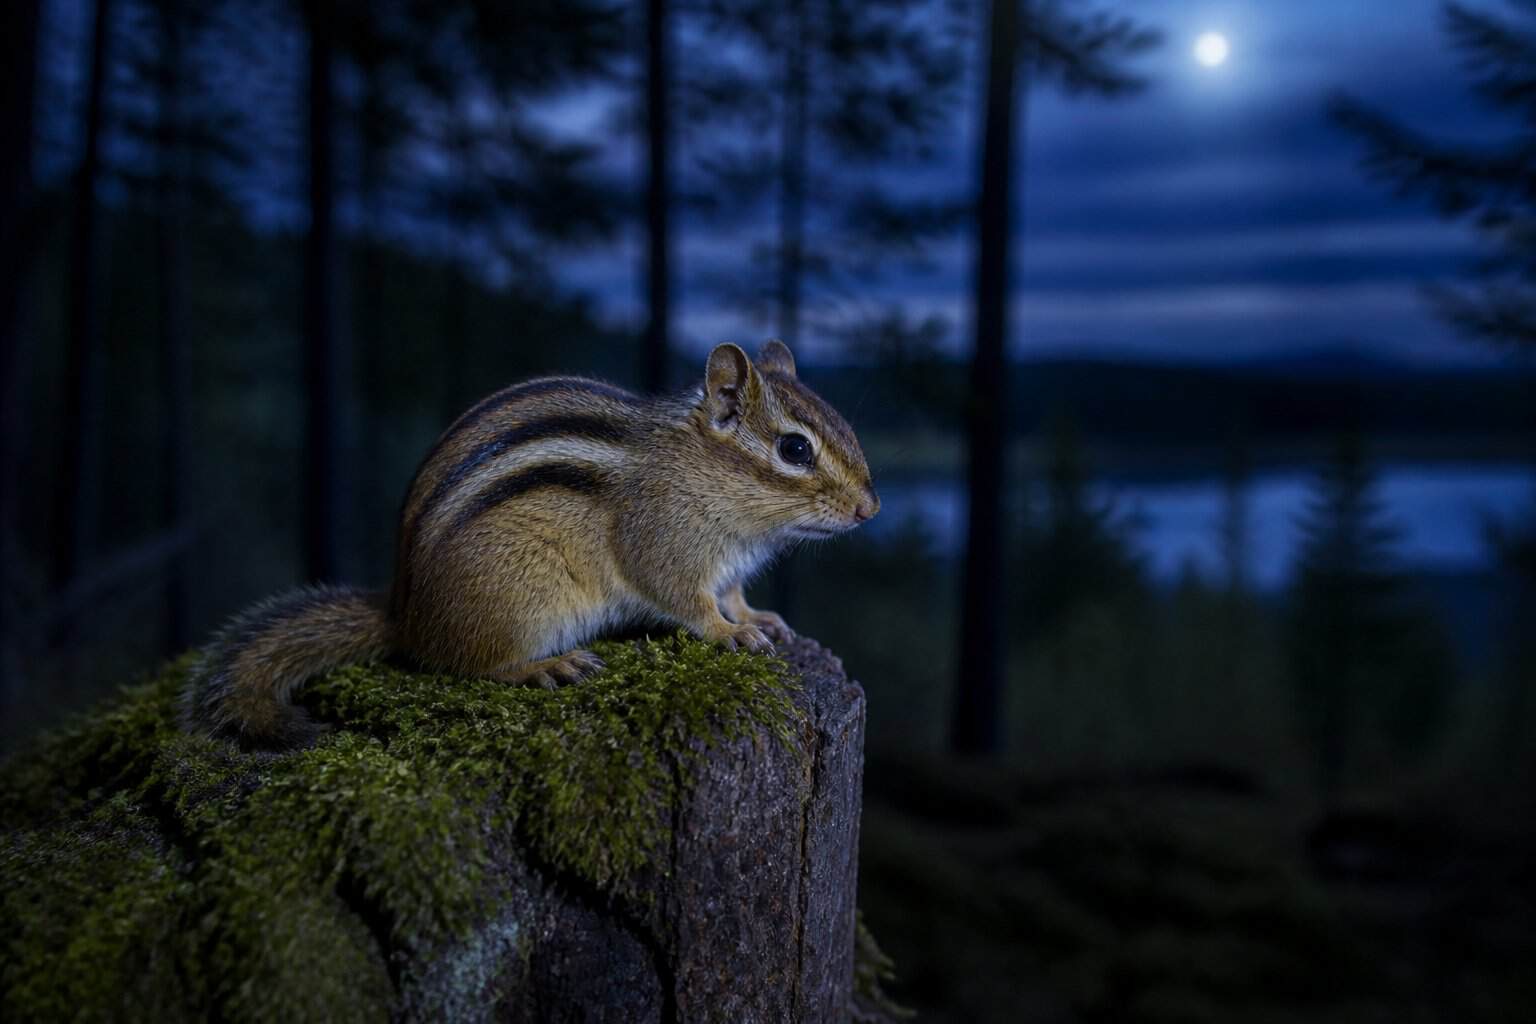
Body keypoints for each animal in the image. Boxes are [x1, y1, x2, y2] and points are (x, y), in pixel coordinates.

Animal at [183, 340, 879, 750]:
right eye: (795, 449)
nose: (870, 509)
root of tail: (403, 613)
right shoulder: (664, 542)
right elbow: (687, 600)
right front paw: (728, 634)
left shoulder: (730, 566)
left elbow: (733, 594)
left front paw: (761, 619)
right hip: (520, 602)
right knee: (471, 665)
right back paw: (545, 666)